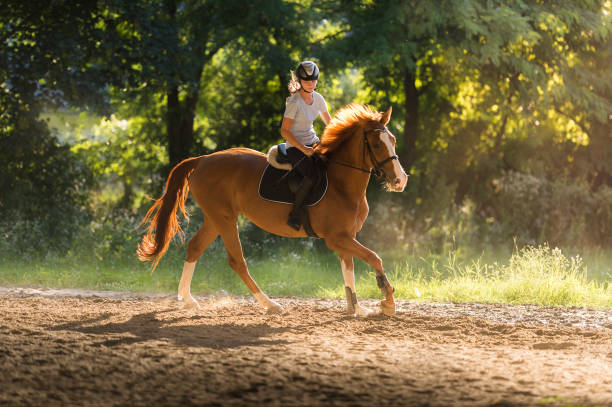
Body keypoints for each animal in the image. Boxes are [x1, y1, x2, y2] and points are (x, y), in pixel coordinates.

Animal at [138, 103, 406, 318]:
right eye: (375, 144)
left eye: (393, 140)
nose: (400, 180)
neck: (341, 182)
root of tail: (202, 159)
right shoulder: (336, 237)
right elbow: (374, 257)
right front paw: (387, 300)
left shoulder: (345, 237)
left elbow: (348, 269)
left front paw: (357, 308)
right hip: (224, 218)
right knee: (237, 261)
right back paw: (270, 304)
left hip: (215, 219)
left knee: (195, 247)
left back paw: (187, 299)